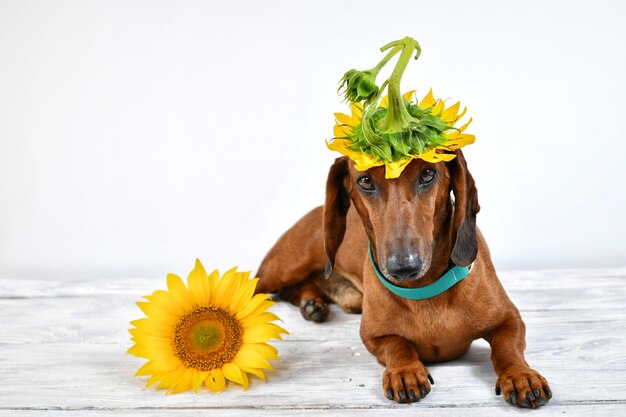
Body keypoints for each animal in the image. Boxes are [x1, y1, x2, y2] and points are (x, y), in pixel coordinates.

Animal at [254, 151, 552, 408]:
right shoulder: (372, 335)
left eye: (428, 174)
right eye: (365, 181)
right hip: (283, 268)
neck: (424, 288)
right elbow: (398, 344)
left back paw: (312, 304)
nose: (404, 266)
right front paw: (405, 371)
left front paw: (520, 375)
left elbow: (506, 348)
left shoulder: (510, 319)